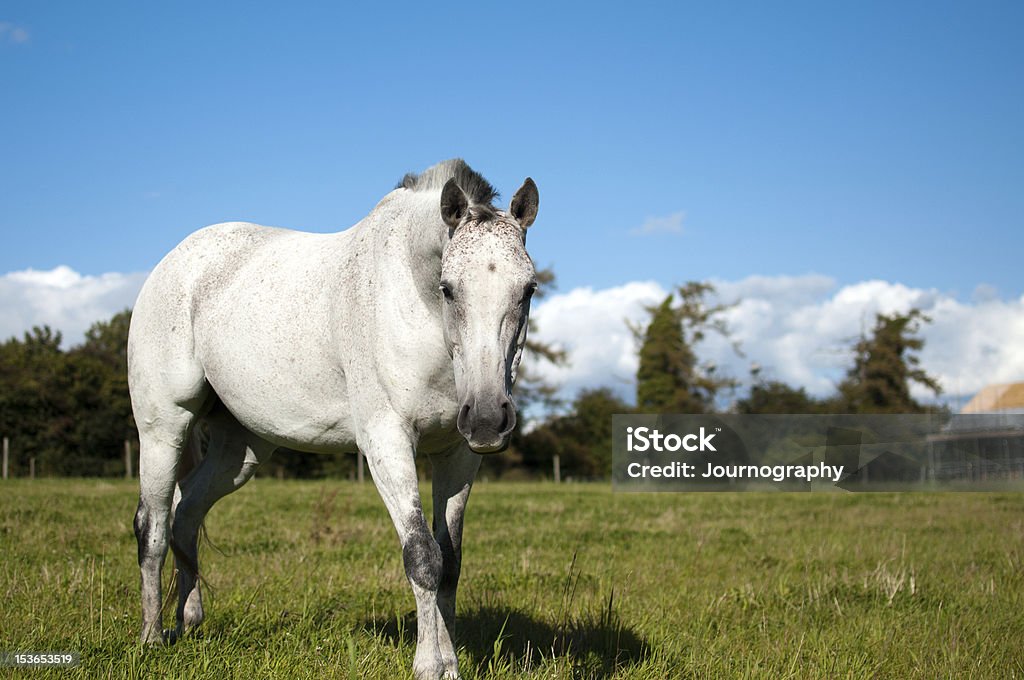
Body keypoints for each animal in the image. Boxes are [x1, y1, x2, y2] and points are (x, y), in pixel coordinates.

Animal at [128, 156, 540, 675]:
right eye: (448, 289)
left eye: (528, 289)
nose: (487, 419)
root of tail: (175, 263)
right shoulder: (386, 441)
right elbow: (422, 556)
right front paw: (430, 665)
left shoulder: (459, 455)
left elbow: (450, 561)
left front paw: (449, 660)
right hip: (163, 427)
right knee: (153, 525)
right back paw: (151, 639)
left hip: (239, 453)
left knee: (186, 512)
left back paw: (189, 623)